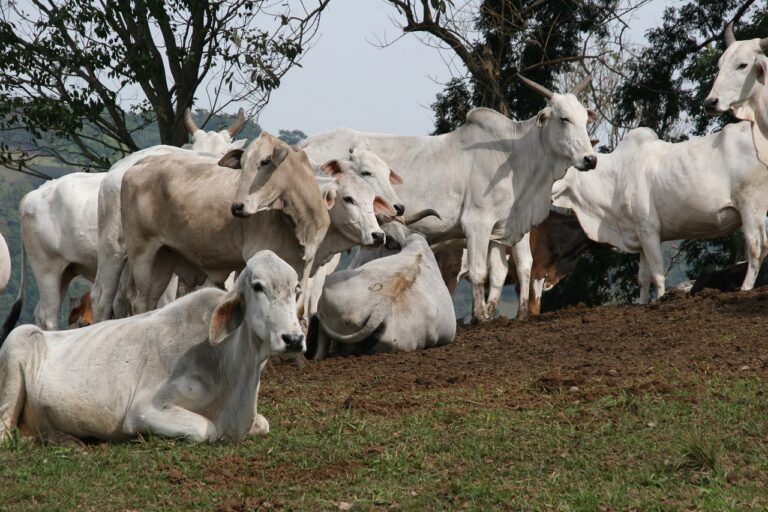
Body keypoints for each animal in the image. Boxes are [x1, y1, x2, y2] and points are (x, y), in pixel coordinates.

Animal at [0, 250, 306, 442]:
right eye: (257, 286)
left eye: (296, 289)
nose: (293, 339)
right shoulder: (145, 409)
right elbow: (206, 429)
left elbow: (263, 424)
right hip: (15, 348)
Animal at [302, 76, 600, 322]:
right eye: (564, 118)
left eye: (585, 119)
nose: (590, 159)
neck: (514, 155)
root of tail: (306, 144)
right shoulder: (477, 223)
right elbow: (480, 272)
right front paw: (480, 317)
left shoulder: (506, 228)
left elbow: (514, 268)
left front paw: (516, 314)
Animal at [552, 121, 768, 302]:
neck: (616, 176)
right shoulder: (640, 236)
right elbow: (643, 278)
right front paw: (642, 304)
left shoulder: (649, 231)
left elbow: (657, 275)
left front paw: (659, 300)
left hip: (751, 207)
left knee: (756, 248)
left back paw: (745, 288)